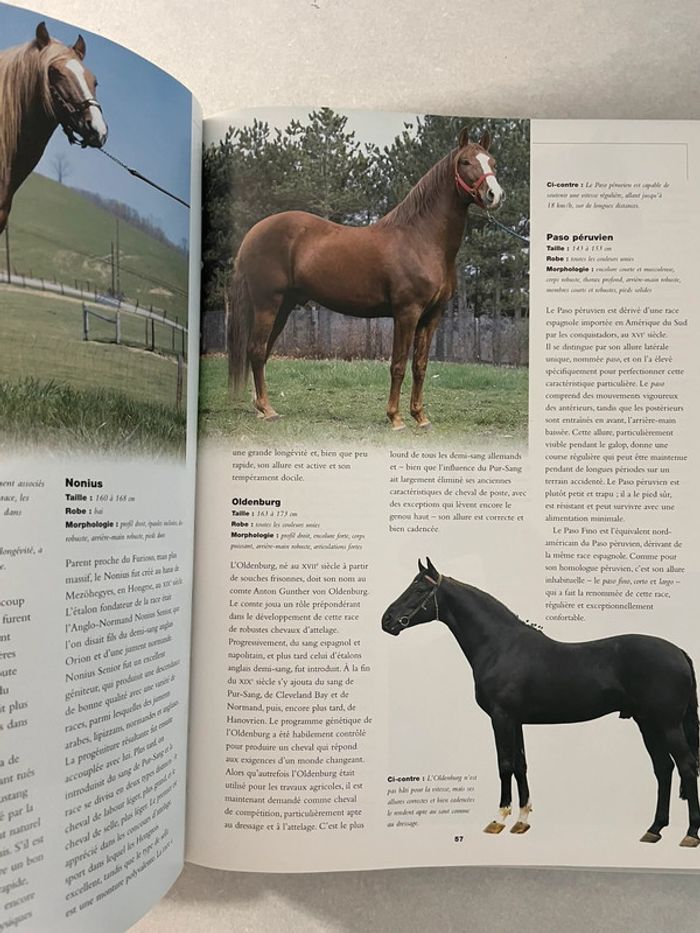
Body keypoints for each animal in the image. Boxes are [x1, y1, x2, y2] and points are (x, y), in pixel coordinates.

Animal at [228, 128, 504, 429]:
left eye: (492, 161)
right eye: (465, 162)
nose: (494, 195)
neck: (421, 239)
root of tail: (254, 232)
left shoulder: (432, 316)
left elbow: (420, 366)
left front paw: (420, 417)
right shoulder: (406, 313)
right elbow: (398, 365)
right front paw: (395, 418)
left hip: (283, 307)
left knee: (262, 352)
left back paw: (260, 407)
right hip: (268, 304)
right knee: (256, 351)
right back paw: (267, 409)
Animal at [382, 558, 700, 847]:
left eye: (419, 589)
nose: (386, 620)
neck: (500, 646)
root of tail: (679, 652)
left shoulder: (501, 717)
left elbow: (504, 764)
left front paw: (499, 819)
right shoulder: (516, 721)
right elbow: (521, 765)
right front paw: (522, 821)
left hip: (668, 725)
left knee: (686, 767)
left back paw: (690, 834)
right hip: (647, 723)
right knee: (663, 769)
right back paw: (654, 829)